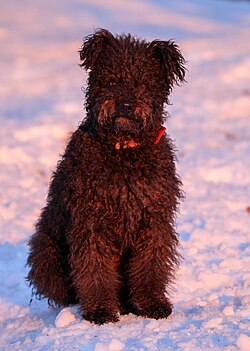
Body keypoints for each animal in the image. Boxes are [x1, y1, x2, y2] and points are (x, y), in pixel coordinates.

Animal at [27, 28, 186, 326]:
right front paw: (100, 309)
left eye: (144, 83)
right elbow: (94, 267)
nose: (125, 103)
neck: (123, 150)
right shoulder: (91, 220)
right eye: (111, 79)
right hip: (45, 253)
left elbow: (150, 264)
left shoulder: (153, 219)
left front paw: (151, 303)